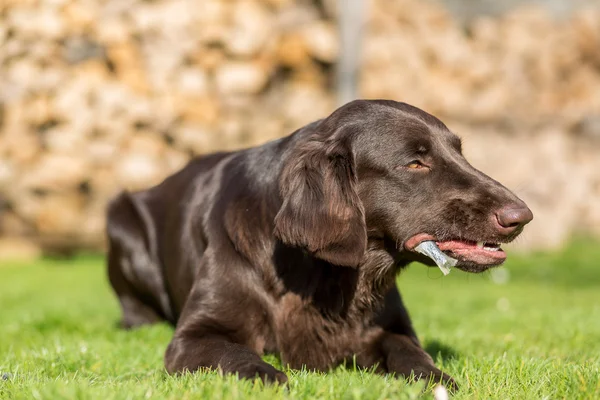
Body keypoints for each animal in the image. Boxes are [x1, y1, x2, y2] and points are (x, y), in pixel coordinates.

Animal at [105, 99, 532, 388]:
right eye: (415, 162)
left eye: (459, 153)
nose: (522, 216)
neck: (322, 274)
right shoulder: (196, 335)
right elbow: (240, 357)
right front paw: (271, 377)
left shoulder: (390, 328)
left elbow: (412, 355)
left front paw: (438, 379)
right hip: (121, 220)